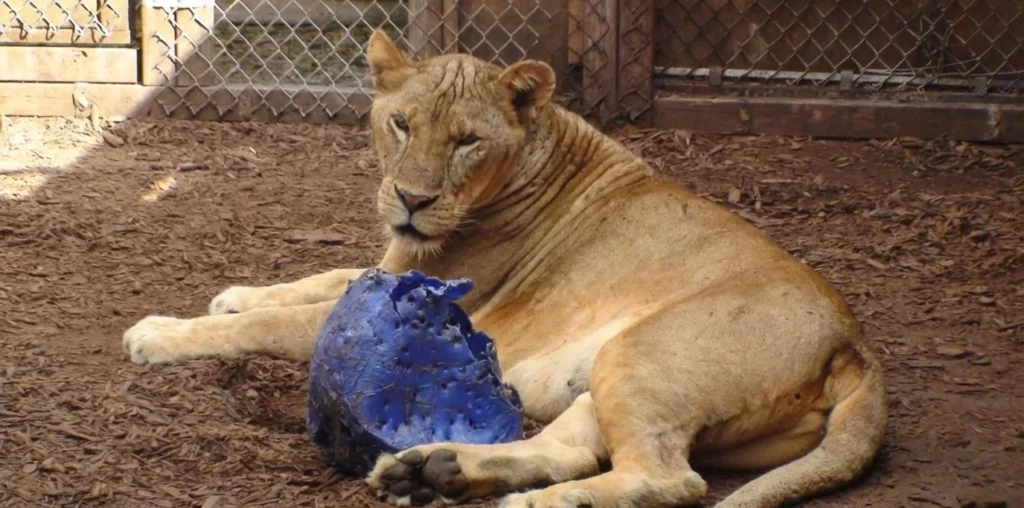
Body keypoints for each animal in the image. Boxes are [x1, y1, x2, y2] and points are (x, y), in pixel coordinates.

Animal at [122, 29, 888, 508]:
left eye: (467, 141)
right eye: (402, 123)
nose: (412, 199)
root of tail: (857, 345)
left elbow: (280, 321)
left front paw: (160, 332)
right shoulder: (390, 264)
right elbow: (319, 278)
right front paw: (233, 293)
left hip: (647, 351)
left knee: (668, 480)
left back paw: (538, 503)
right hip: (615, 370)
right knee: (581, 449)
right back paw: (430, 472)